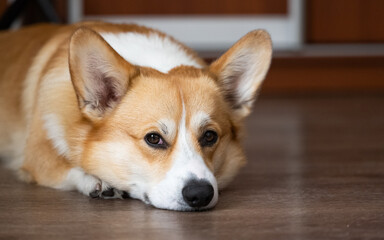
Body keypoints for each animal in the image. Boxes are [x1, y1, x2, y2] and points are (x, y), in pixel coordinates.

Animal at [0, 22, 272, 210]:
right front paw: (96, 181)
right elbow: (68, 170)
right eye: (153, 138)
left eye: (209, 136)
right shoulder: (39, 157)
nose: (200, 195)